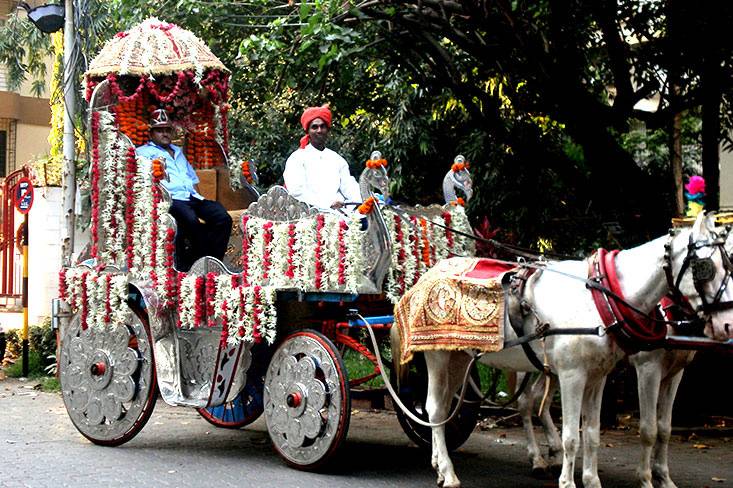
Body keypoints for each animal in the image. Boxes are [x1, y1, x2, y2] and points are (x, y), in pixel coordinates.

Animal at [392, 214, 732, 488]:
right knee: (437, 409)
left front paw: (594, 481)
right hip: (438, 356)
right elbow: (579, 436)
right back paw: (450, 473)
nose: (728, 325)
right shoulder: (589, 373)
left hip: (462, 358)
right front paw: (576, 482)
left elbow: (597, 433)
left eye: (728, 265)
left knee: (475, 406)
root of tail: (424, 277)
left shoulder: (603, 376)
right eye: (706, 268)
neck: (603, 297)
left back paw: (443, 463)